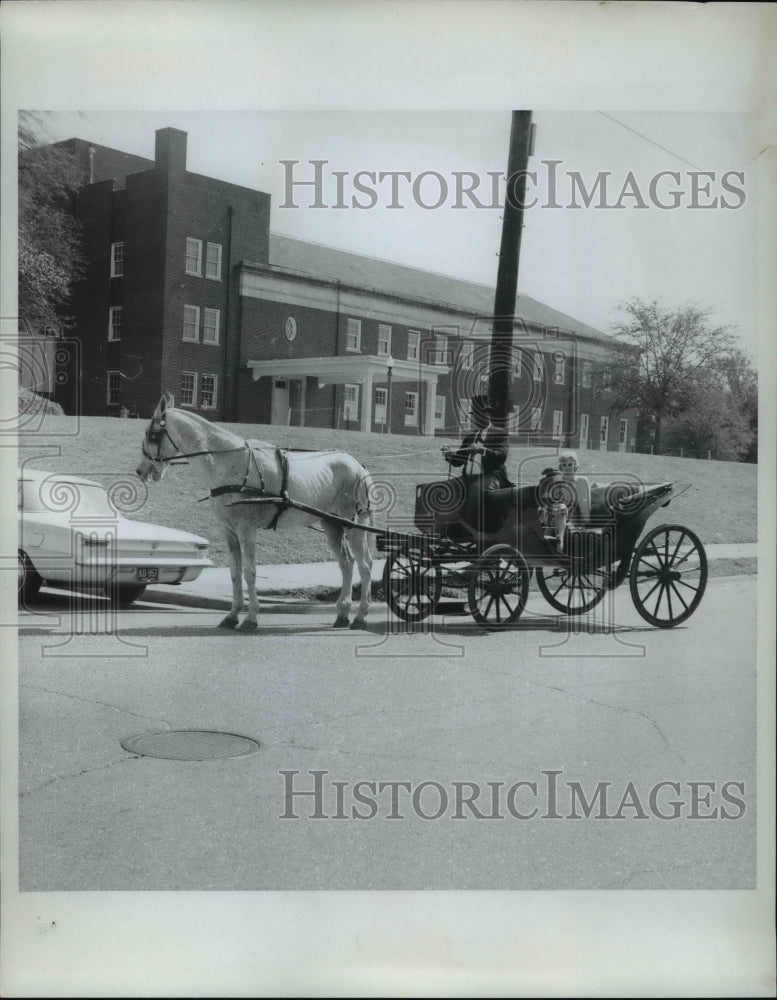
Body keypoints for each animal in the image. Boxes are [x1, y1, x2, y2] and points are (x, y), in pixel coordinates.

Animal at [136, 394, 376, 628]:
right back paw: (343, 613)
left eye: (151, 434)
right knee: (346, 564)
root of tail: (358, 466)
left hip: (353, 523)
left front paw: (251, 618)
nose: (140, 470)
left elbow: (250, 572)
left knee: (365, 566)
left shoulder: (246, 528)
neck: (230, 463)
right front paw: (232, 615)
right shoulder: (229, 530)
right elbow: (235, 572)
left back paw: (361, 616)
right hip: (332, 523)